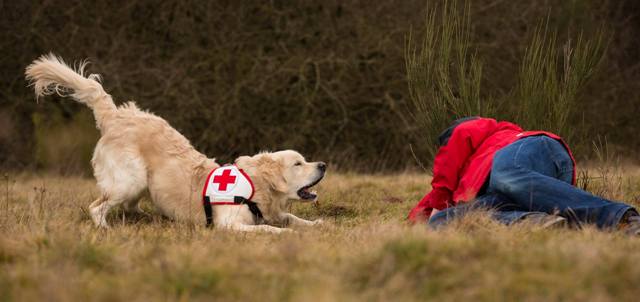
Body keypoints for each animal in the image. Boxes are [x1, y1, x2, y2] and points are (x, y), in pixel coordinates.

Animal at [25, 54, 324, 234]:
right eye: (298, 163)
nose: (322, 164)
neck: (256, 185)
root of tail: (116, 115)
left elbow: (291, 218)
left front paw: (317, 224)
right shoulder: (228, 224)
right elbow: (269, 228)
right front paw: (285, 233)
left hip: (142, 183)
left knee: (130, 207)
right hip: (129, 180)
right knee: (97, 207)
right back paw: (105, 229)